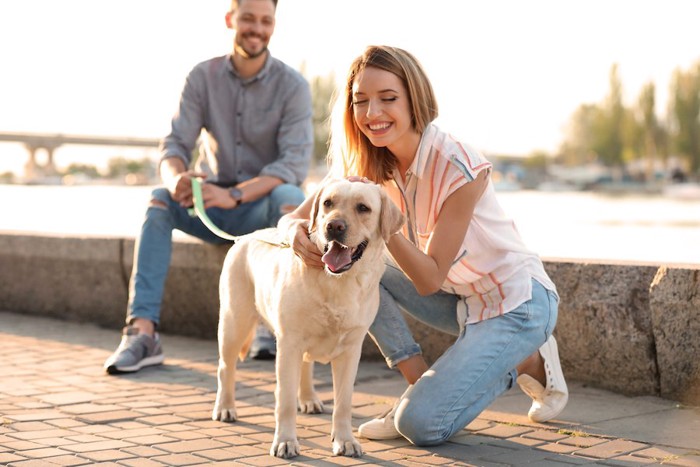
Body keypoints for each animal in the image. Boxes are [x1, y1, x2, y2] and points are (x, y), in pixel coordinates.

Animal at [211, 180, 402, 460]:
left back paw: (309, 398)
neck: (336, 281)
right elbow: (285, 401)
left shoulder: (350, 350)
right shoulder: (288, 345)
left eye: (363, 208)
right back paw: (225, 407)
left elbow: (343, 402)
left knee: (306, 365)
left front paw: (345, 440)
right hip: (234, 322)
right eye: (327, 203)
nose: (334, 226)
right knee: (226, 367)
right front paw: (285, 441)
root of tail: (245, 236)